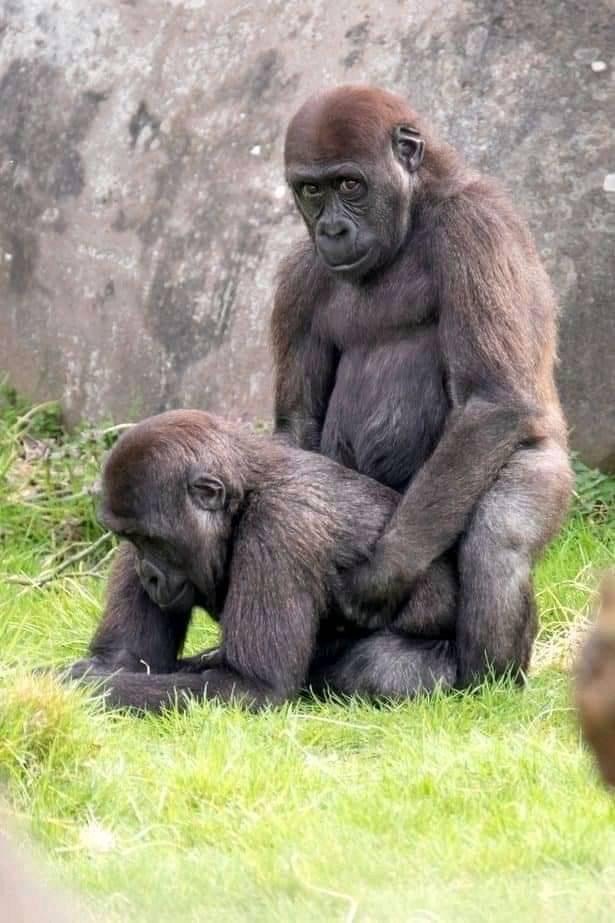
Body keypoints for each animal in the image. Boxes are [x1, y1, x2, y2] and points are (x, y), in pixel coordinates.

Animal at [65, 405, 534, 710]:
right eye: (130, 539)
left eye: (153, 540)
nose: (148, 576)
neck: (243, 496)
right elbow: (126, 660)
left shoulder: (280, 525)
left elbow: (251, 687)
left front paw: (76, 687)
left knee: (381, 668)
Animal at [272, 84, 574, 690]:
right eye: (312, 190)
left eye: (350, 185)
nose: (332, 230)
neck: (417, 208)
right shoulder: (297, 274)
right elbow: (298, 423)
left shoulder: (476, 227)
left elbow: (493, 399)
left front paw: (379, 578)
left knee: (498, 536)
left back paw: (482, 679)